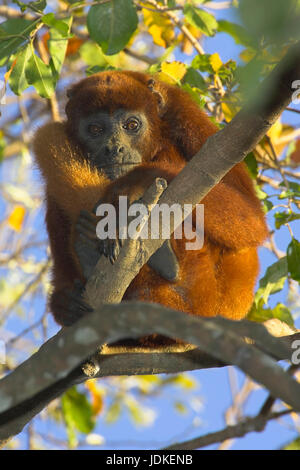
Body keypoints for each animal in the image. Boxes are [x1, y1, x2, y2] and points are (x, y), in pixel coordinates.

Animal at [32, 70, 268, 346]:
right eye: (95, 129)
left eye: (132, 125)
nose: (114, 148)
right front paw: (63, 303)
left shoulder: (188, 118)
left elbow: (251, 220)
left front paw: (131, 184)